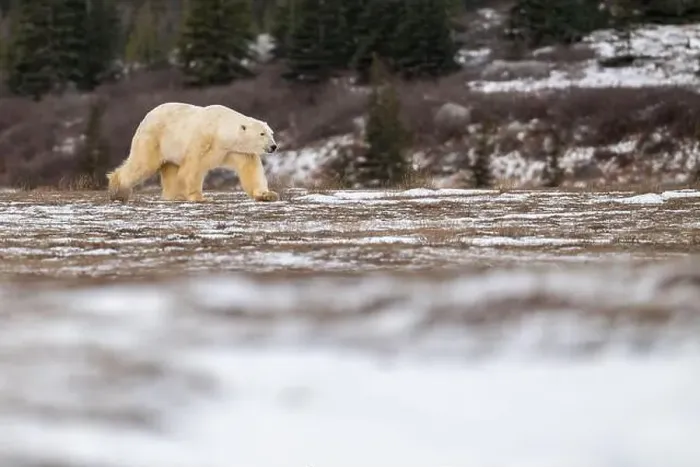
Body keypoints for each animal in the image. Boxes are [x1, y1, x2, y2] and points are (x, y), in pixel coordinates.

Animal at [106, 102, 280, 203]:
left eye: (271, 133)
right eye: (262, 134)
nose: (273, 146)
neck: (220, 130)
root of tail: (146, 116)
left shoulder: (234, 150)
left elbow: (250, 169)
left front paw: (267, 195)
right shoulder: (203, 140)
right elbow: (193, 168)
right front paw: (198, 197)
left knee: (171, 170)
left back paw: (175, 195)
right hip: (154, 139)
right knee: (143, 164)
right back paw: (118, 191)